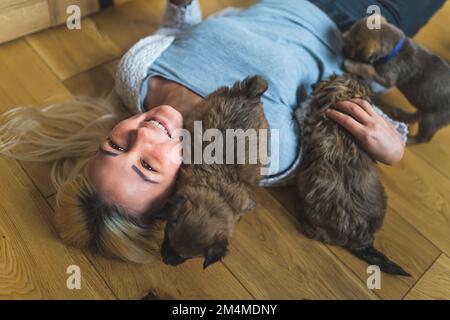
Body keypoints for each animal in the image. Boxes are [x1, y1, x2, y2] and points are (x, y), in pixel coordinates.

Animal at [342, 15, 448, 144]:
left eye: (351, 45)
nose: (343, 36)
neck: (395, 49)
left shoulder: (387, 79)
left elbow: (368, 69)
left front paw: (351, 65)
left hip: (432, 119)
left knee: (423, 138)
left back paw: (406, 140)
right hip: (427, 108)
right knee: (417, 115)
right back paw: (401, 115)